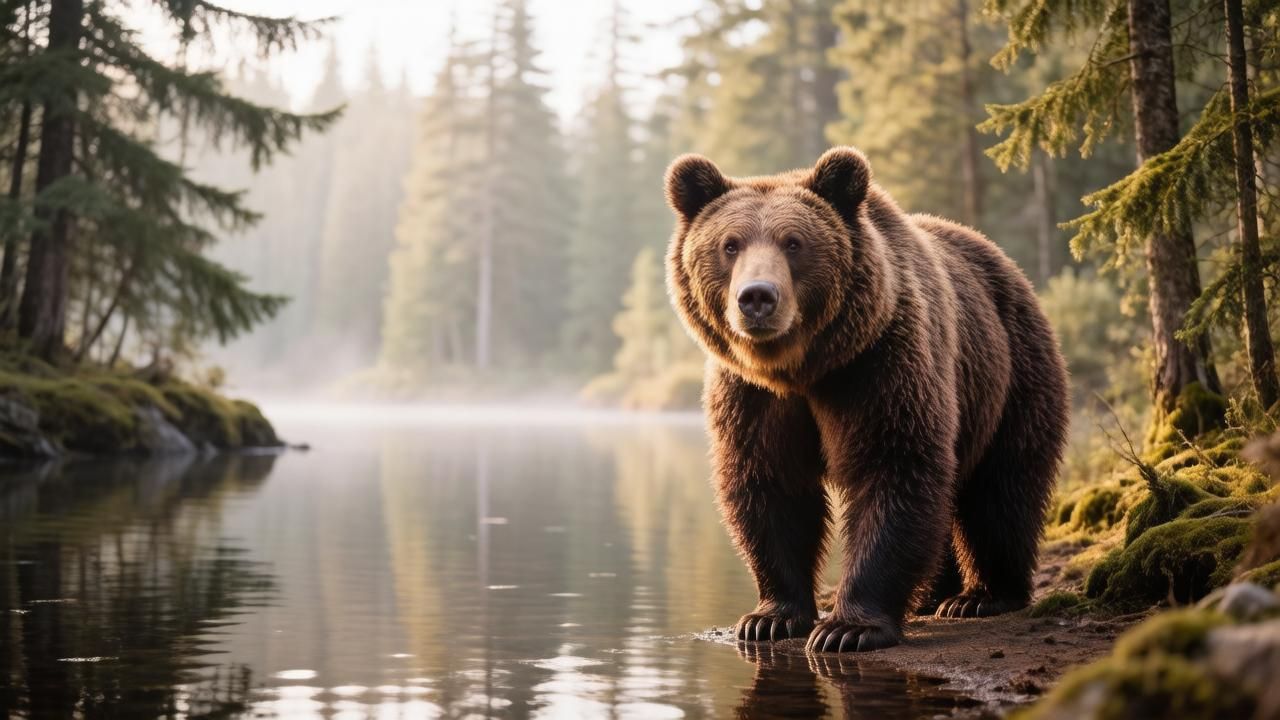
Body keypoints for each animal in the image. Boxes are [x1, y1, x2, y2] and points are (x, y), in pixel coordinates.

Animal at [663, 147, 1070, 653]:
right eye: (730, 244)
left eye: (794, 242)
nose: (757, 298)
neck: (801, 370)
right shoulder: (752, 397)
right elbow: (770, 484)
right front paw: (770, 617)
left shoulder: (877, 367)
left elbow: (892, 465)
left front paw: (848, 627)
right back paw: (933, 595)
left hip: (1010, 372)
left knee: (1001, 488)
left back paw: (983, 596)